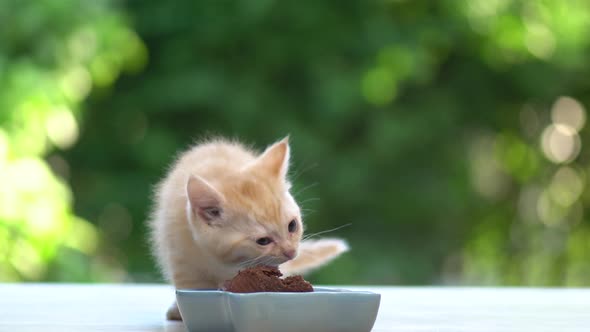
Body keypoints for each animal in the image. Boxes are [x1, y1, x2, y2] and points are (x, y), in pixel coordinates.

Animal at [150, 137, 350, 320]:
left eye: (292, 225)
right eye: (263, 241)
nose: (291, 252)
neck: (223, 262)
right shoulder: (181, 258)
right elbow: (192, 289)